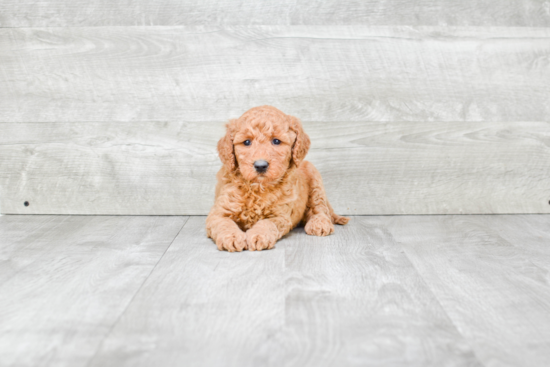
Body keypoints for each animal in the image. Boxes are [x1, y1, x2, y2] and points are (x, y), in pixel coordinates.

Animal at [207, 105, 350, 252]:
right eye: (246, 142)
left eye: (276, 141)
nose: (260, 165)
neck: (258, 187)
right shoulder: (219, 212)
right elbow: (224, 223)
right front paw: (232, 237)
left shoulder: (280, 216)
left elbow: (266, 223)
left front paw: (259, 235)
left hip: (314, 177)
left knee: (319, 207)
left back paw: (319, 223)